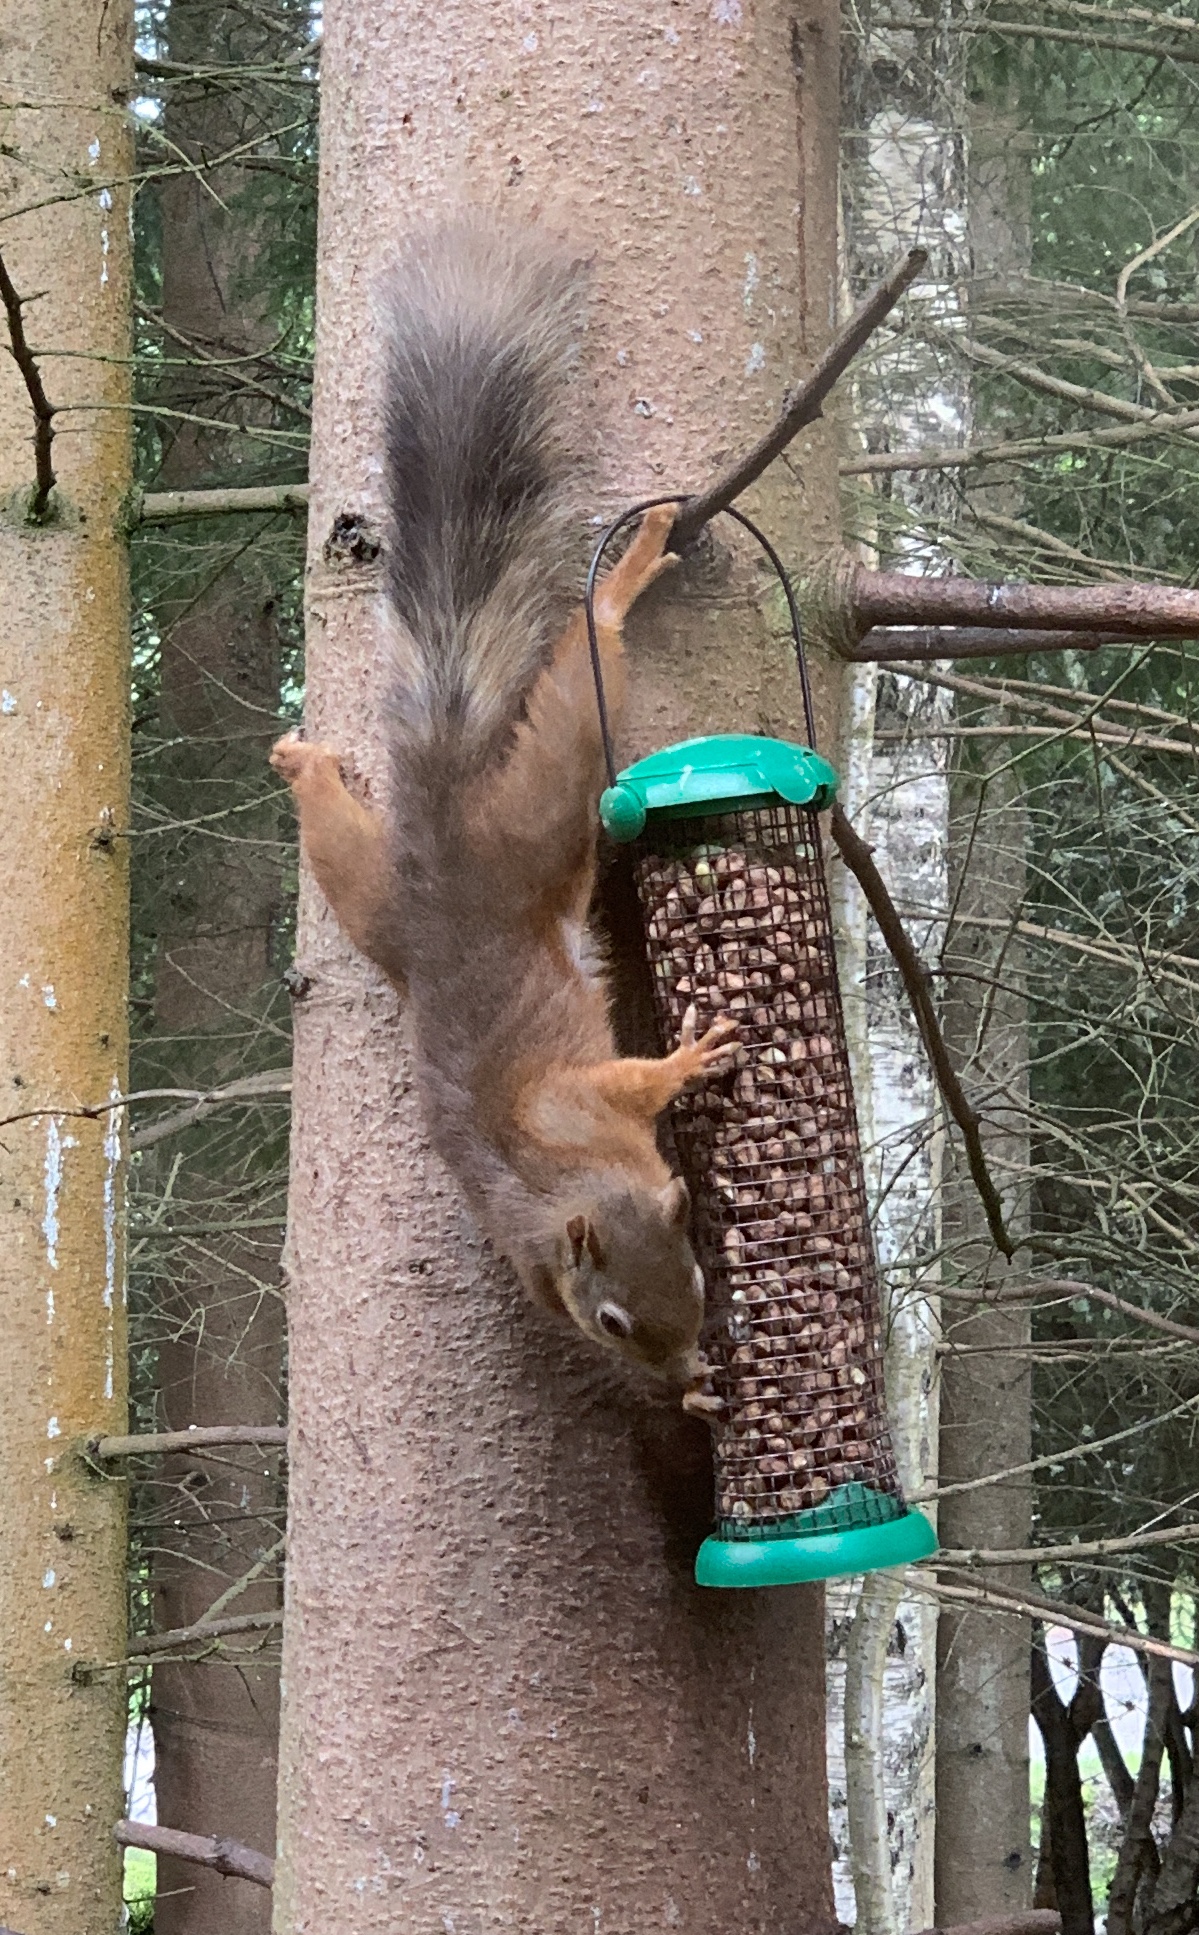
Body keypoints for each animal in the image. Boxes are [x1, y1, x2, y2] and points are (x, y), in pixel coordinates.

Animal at [274, 226, 731, 1416]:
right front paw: (690, 1398)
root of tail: (440, 851)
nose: (683, 1365)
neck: (562, 1178)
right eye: (610, 1320)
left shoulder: (577, 1113)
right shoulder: (557, 1186)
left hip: (461, 855)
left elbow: (631, 1084)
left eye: (699, 1276)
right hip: (465, 861)